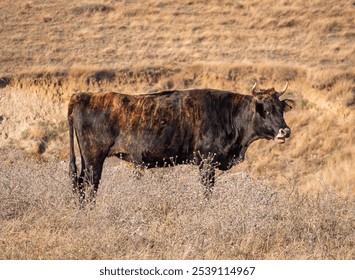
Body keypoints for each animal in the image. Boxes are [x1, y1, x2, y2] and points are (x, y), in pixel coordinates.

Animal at [69, 82, 294, 202]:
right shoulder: (206, 162)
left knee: (80, 183)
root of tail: (82, 96)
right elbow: (207, 191)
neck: (228, 114)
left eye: (281, 108)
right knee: (89, 185)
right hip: (94, 158)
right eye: (266, 110)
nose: (285, 130)